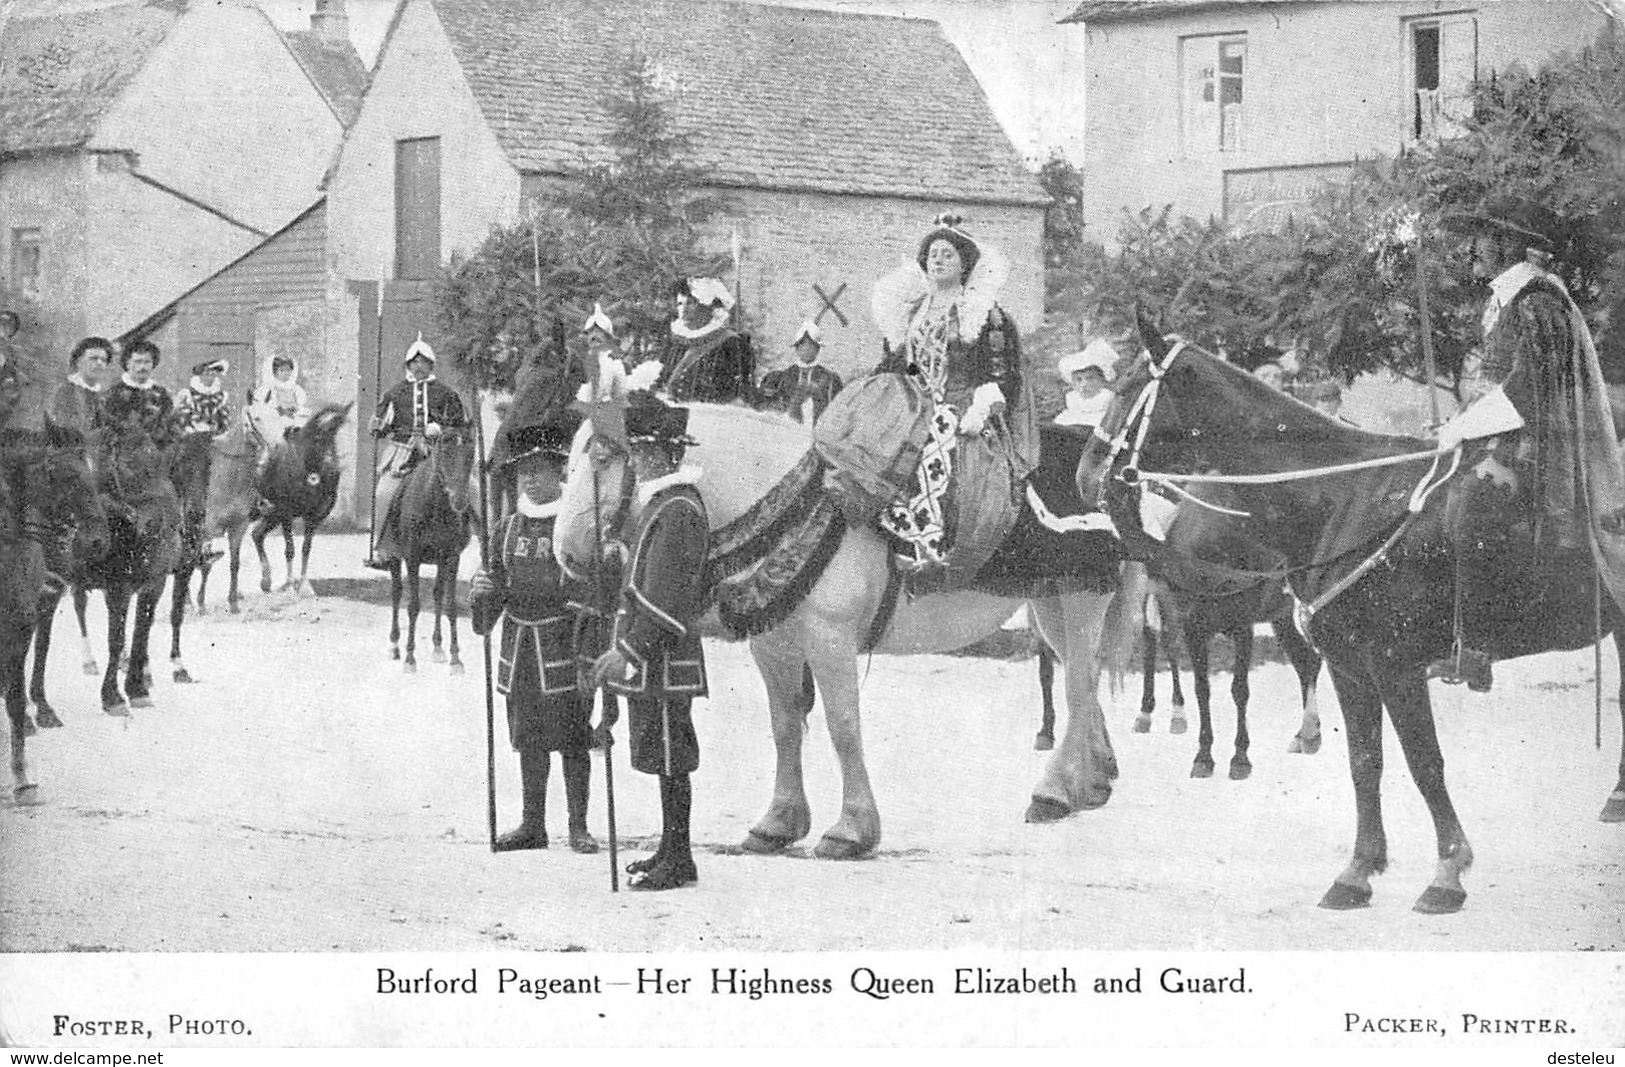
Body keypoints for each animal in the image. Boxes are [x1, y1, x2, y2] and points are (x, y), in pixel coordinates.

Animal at [1, 425, 106, 799]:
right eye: (62, 474)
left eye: (93, 472)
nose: (96, 542)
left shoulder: (20, 625)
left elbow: (16, 699)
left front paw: (21, 777)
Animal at [378, 428, 474, 669]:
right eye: (445, 453)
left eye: (471, 454)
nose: (460, 500)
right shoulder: (412, 556)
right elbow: (413, 605)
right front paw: (410, 658)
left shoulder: (451, 557)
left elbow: (450, 604)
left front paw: (455, 658)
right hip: (394, 556)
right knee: (396, 593)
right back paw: (394, 645)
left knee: (438, 595)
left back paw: (438, 647)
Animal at [552, 399, 1137, 857]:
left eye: (601, 457)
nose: (566, 552)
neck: (794, 505)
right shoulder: (775, 645)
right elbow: (786, 727)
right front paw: (779, 822)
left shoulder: (830, 642)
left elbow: (843, 728)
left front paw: (851, 831)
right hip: (1051, 603)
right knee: (1084, 685)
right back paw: (1092, 781)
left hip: (1082, 602)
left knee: (1079, 687)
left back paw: (1055, 792)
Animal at [1079, 311, 1625, 909]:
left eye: (1125, 389)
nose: (1085, 475)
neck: (1344, 496)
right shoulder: (1351, 667)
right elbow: (1366, 763)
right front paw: (1358, 872)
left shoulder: (1396, 666)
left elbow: (1424, 762)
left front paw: (1447, 871)